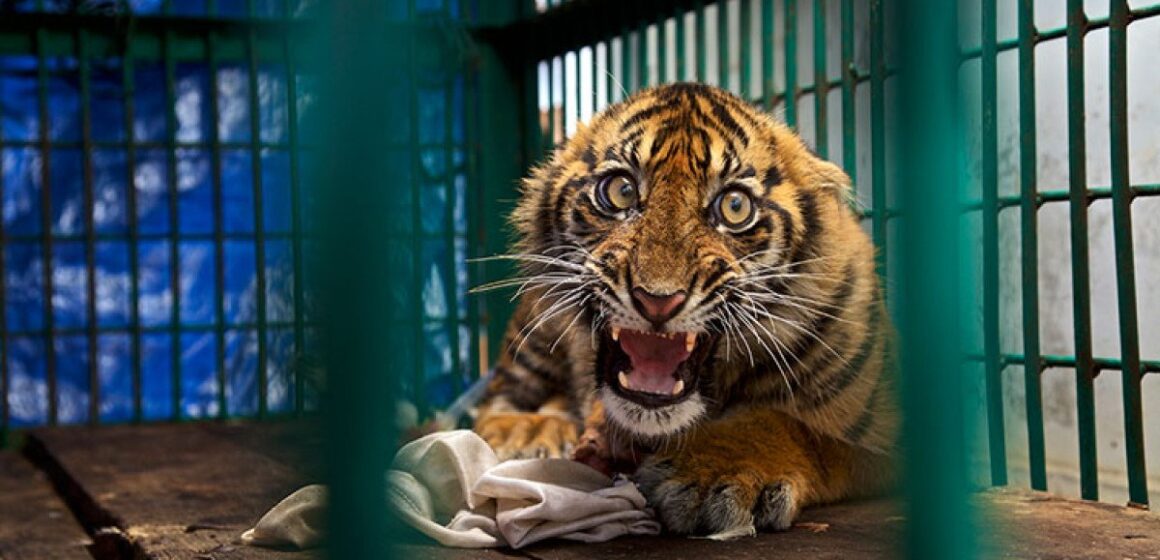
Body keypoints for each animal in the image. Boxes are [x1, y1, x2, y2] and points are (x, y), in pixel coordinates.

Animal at [473, 82, 897, 538]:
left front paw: (716, 470)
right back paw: (526, 429)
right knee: (492, 404)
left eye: (735, 207)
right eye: (621, 191)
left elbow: (807, 431)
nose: (658, 298)